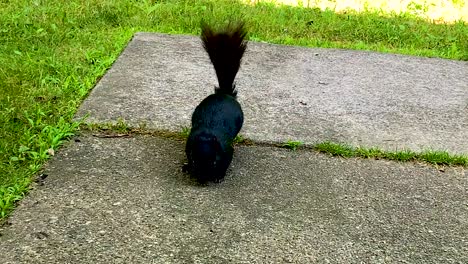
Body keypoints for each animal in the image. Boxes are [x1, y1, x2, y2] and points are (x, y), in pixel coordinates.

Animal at [184, 21, 249, 183]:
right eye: (194, 159)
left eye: (214, 161)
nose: (203, 178)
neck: (207, 135)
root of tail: (224, 93)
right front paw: (188, 167)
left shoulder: (227, 150)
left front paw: (219, 176)